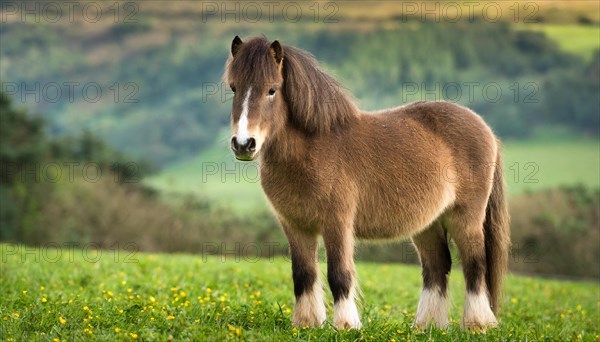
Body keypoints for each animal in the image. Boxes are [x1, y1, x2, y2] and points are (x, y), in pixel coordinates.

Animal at [223, 36, 508, 330]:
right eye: (234, 88)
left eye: (272, 90)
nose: (243, 144)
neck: (314, 148)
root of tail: (485, 128)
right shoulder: (295, 226)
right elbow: (303, 273)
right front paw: (306, 323)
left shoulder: (337, 223)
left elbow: (339, 273)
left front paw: (345, 324)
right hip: (428, 224)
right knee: (437, 265)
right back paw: (427, 325)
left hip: (466, 217)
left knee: (475, 264)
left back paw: (477, 323)